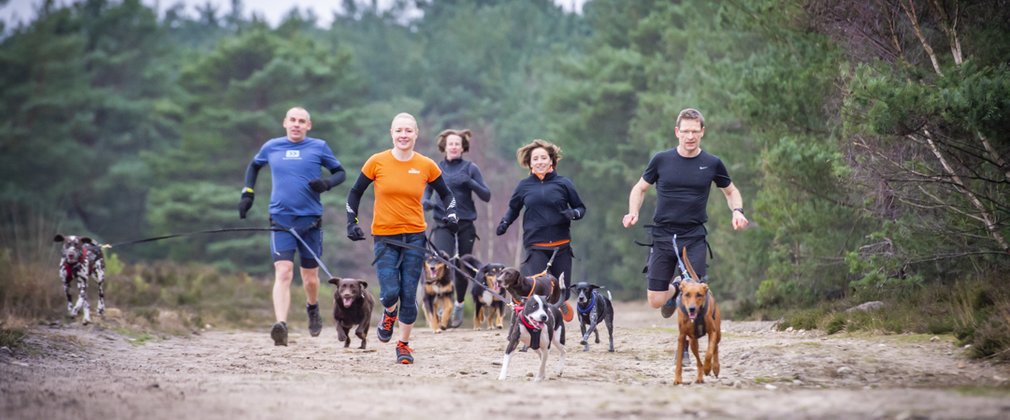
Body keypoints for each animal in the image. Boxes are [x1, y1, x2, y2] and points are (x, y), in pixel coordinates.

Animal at [674, 247, 723, 385]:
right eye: (686, 294)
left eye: (699, 295)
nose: (691, 308)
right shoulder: (682, 336)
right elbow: (679, 362)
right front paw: (677, 379)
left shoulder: (712, 332)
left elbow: (708, 353)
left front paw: (708, 368)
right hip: (692, 341)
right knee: (697, 358)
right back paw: (700, 376)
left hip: (718, 332)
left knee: (715, 347)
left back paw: (715, 367)